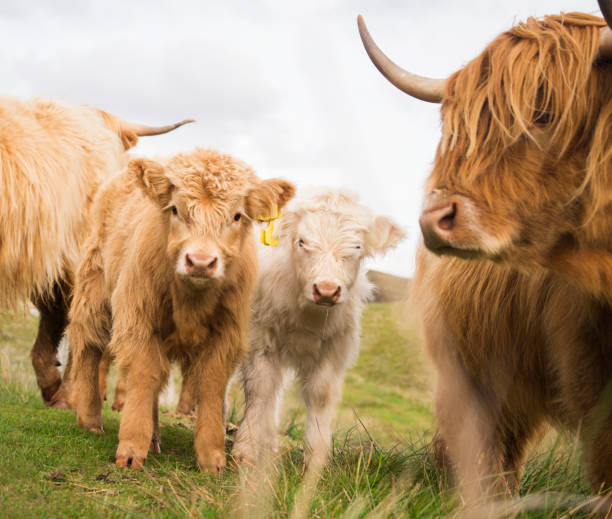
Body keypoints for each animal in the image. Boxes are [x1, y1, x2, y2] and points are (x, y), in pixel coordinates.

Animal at [66, 148, 294, 474]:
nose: (200, 261)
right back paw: (90, 420)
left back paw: (154, 437)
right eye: (175, 209)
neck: (191, 300)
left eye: (237, 215)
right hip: (93, 287)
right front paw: (131, 448)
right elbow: (142, 375)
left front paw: (212, 456)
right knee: (89, 346)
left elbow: (210, 385)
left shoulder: (226, 334)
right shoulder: (138, 319)